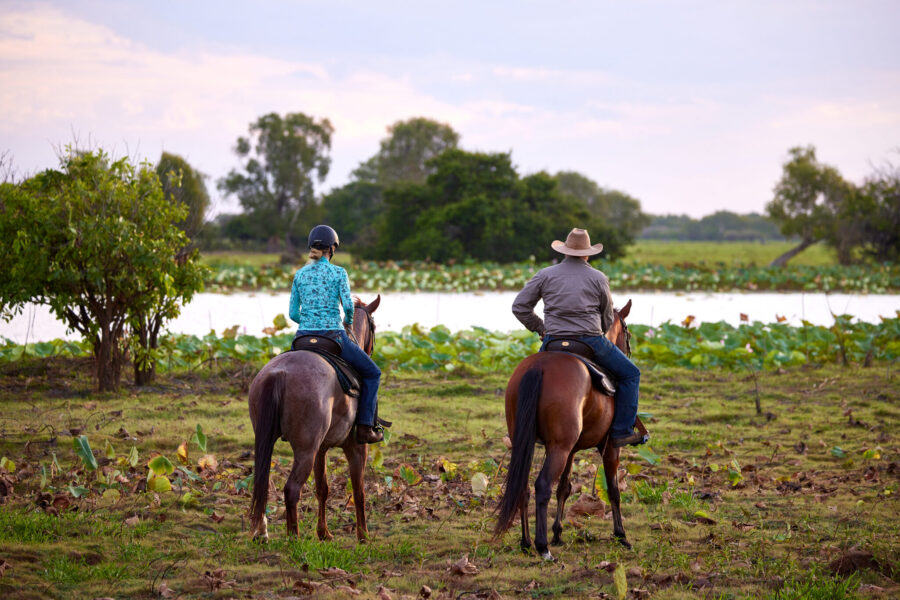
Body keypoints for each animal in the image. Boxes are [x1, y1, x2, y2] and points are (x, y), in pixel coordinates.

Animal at [248, 295, 380, 542]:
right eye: (374, 327)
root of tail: (279, 374)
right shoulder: (357, 447)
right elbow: (359, 491)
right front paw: (363, 536)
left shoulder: (321, 449)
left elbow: (322, 489)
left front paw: (324, 533)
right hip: (305, 451)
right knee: (291, 489)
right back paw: (293, 538)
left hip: (267, 440)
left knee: (262, 483)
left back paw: (262, 532)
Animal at [495, 299, 635, 560]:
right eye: (627, 332)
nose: (627, 351)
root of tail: (539, 367)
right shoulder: (610, 447)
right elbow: (613, 489)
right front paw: (621, 535)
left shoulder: (572, 450)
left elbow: (564, 488)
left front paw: (558, 533)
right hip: (559, 449)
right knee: (542, 486)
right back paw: (542, 547)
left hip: (529, 443)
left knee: (523, 487)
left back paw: (526, 542)